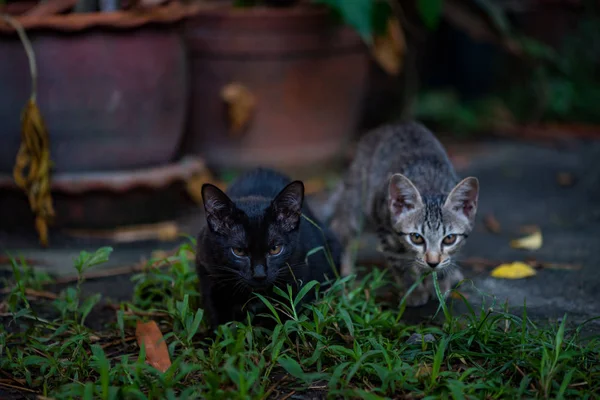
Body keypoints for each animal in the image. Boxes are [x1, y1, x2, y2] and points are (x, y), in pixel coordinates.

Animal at [326, 122, 480, 306]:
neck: (430, 186)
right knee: (341, 227)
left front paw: (440, 284)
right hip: (358, 202)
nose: (433, 262)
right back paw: (346, 273)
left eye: (449, 238)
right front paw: (413, 291)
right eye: (416, 237)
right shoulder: (386, 231)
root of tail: (392, 124)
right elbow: (399, 263)